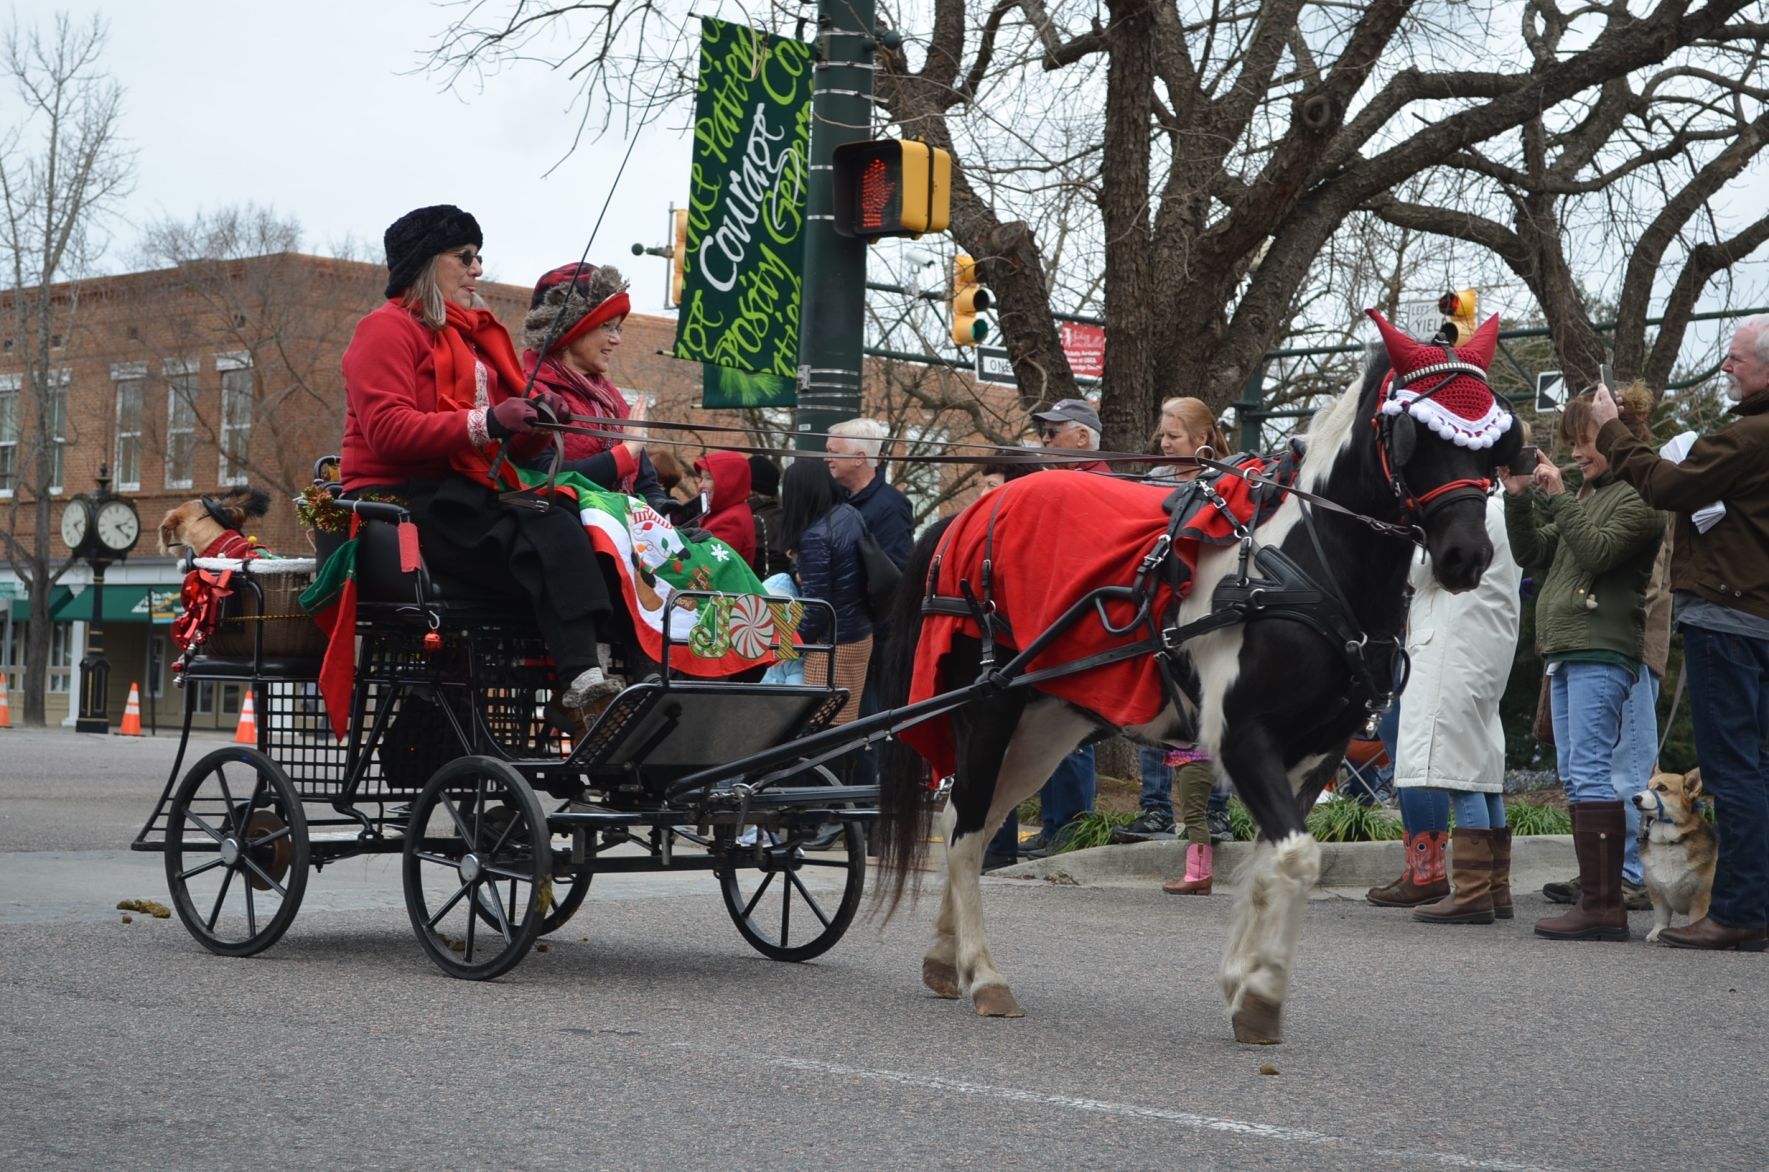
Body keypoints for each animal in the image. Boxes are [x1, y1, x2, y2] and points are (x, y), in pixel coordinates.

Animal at [877, 339, 1514, 1046]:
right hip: (989, 709)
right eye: (1411, 435)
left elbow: (1270, 862)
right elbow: (1295, 859)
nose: (1466, 556)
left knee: (971, 819)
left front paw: (1243, 982)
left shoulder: (1318, 751)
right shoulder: (1242, 736)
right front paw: (1262, 993)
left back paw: (946, 958)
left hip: (1044, 728)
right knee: (964, 834)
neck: (1302, 567)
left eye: (1494, 443)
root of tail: (966, 519)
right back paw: (984, 974)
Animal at [1627, 770, 1712, 947]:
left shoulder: (1701, 896)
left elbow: (1697, 918)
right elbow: (1662, 917)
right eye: (1647, 786)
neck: (1668, 843)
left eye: (1662, 788)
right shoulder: (1657, 893)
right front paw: (1656, 933)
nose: (1635, 798)